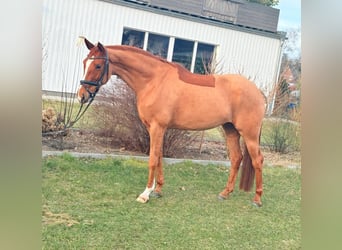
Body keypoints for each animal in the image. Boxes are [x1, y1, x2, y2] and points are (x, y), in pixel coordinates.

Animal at [78, 37, 268, 205]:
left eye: (98, 65)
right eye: (84, 62)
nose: (82, 96)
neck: (154, 80)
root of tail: (258, 92)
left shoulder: (157, 127)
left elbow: (153, 158)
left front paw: (145, 194)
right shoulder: (155, 129)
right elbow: (159, 156)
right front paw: (158, 190)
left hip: (249, 134)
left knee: (258, 160)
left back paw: (257, 199)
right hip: (230, 130)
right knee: (236, 158)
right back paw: (225, 193)